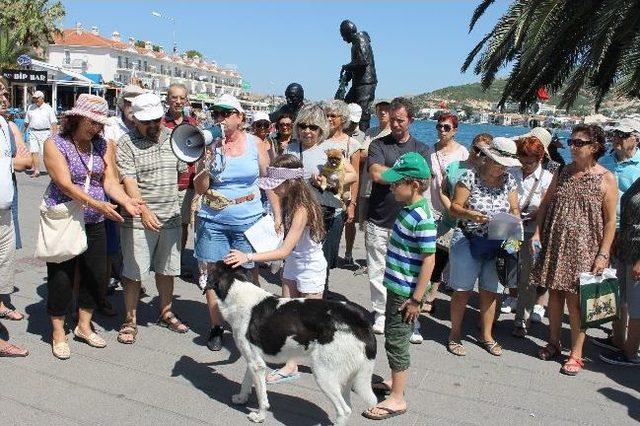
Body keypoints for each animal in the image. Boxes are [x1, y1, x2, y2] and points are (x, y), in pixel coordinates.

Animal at [205, 262, 378, 424]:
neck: (238, 289)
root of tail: (359, 322)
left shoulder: (257, 364)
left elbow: (262, 396)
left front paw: (260, 416)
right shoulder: (253, 360)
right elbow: (246, 382)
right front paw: (241, 399)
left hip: (323, 374)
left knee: (344, 410)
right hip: (346, 377)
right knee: (348, 406)